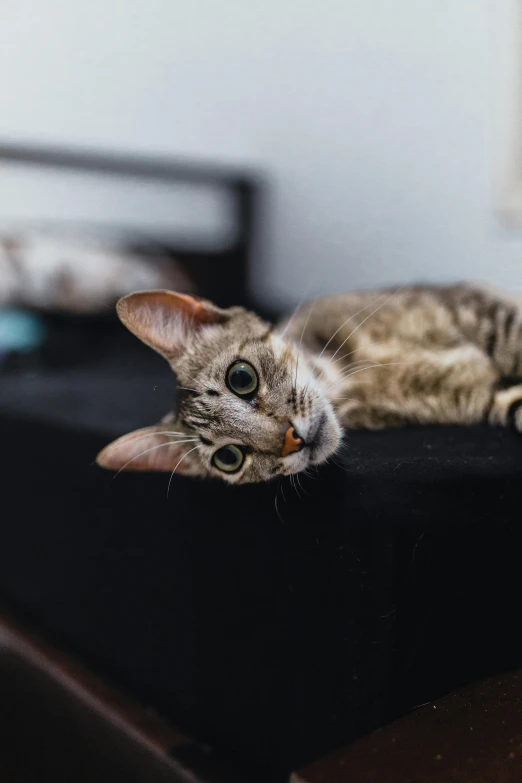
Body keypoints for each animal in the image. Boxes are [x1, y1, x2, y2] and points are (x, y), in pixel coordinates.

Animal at [95, 286, 520, 484]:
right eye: (229, 458)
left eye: (241, 378)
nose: (292, 439)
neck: (351, 380)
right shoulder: (487, 398)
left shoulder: (478, 308)